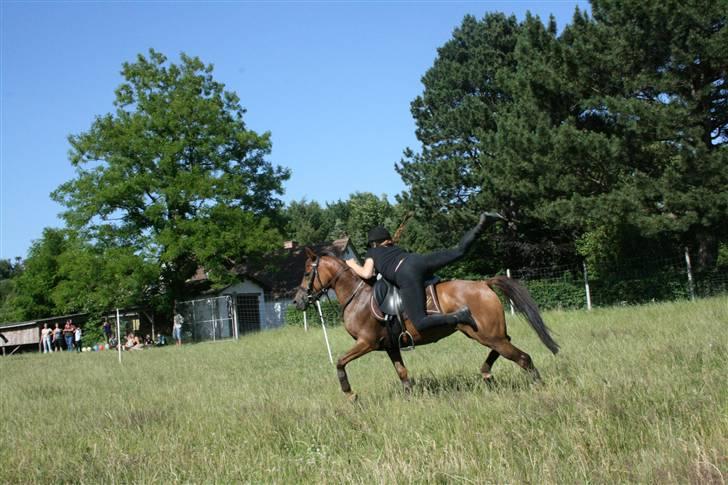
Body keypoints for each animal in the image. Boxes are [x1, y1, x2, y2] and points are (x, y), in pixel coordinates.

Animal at [292, 248, 560, 398]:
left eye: (306, 273)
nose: (297, 301)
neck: (357, 297)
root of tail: (483, 284)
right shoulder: (390, 346)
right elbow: (402, 373)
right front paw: (410, 398)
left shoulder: (366, 342)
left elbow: (340, 361)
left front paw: (349, 393)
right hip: (484, 334)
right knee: (505, 348)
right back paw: (486, 372)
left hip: (488, 335)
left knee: (523, 358)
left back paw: (539, 388)